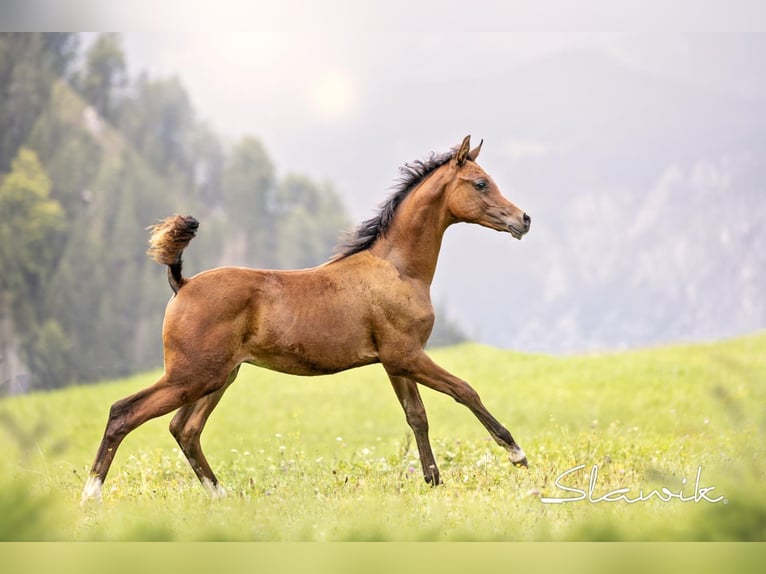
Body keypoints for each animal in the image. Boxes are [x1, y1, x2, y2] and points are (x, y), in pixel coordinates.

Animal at [81, 135, 532, 504]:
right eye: (480, 183)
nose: (523, 220)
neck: (398, 268)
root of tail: (183, 283)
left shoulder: (396, 361)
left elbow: (417, 417)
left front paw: (433, 482)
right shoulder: (406, 355)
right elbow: (464, 390)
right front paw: (517, 454)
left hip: (219, 376)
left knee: (184, 429)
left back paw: (220, 495)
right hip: (192, 376)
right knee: (124, 412)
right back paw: (91, 496)